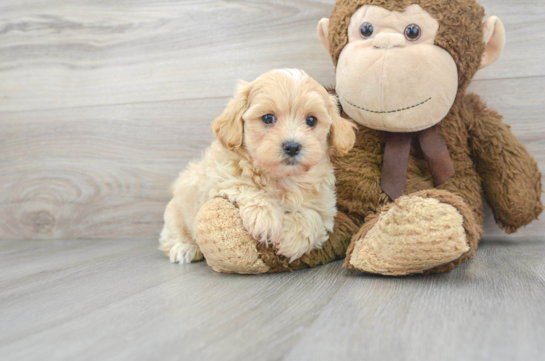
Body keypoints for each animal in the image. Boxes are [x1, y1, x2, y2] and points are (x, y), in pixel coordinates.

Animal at [159, 69, 356, 262]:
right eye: (268, 118)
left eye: (312, 120)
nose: (292, 146)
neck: (282, 178)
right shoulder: (220, 177)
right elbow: (245, 185)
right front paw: (266, 219)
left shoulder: (326, 207)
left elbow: (314, 216)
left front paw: (292, 239)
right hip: (175, 212)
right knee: (172, 236)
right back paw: (184, 248)